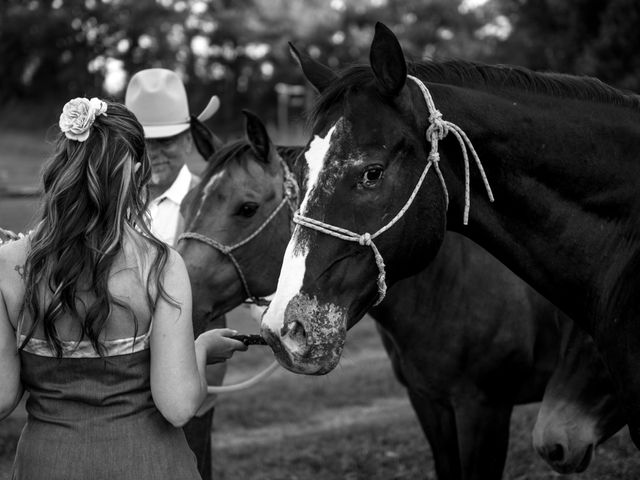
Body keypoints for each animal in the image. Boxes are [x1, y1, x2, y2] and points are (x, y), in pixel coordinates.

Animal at [176, 111, 620, 476]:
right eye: (186, 204)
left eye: (246, 208)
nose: (183, 297)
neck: (451, 285)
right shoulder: (429, 403)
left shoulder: (484, 409)